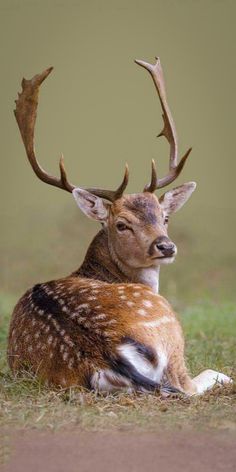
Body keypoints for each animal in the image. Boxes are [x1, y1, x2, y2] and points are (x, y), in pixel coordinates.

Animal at [6, 56, 231, 394]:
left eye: (164, 217)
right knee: (193, 384)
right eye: (122, 224)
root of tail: (106, 352)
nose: (166, 246)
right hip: (169, 325)